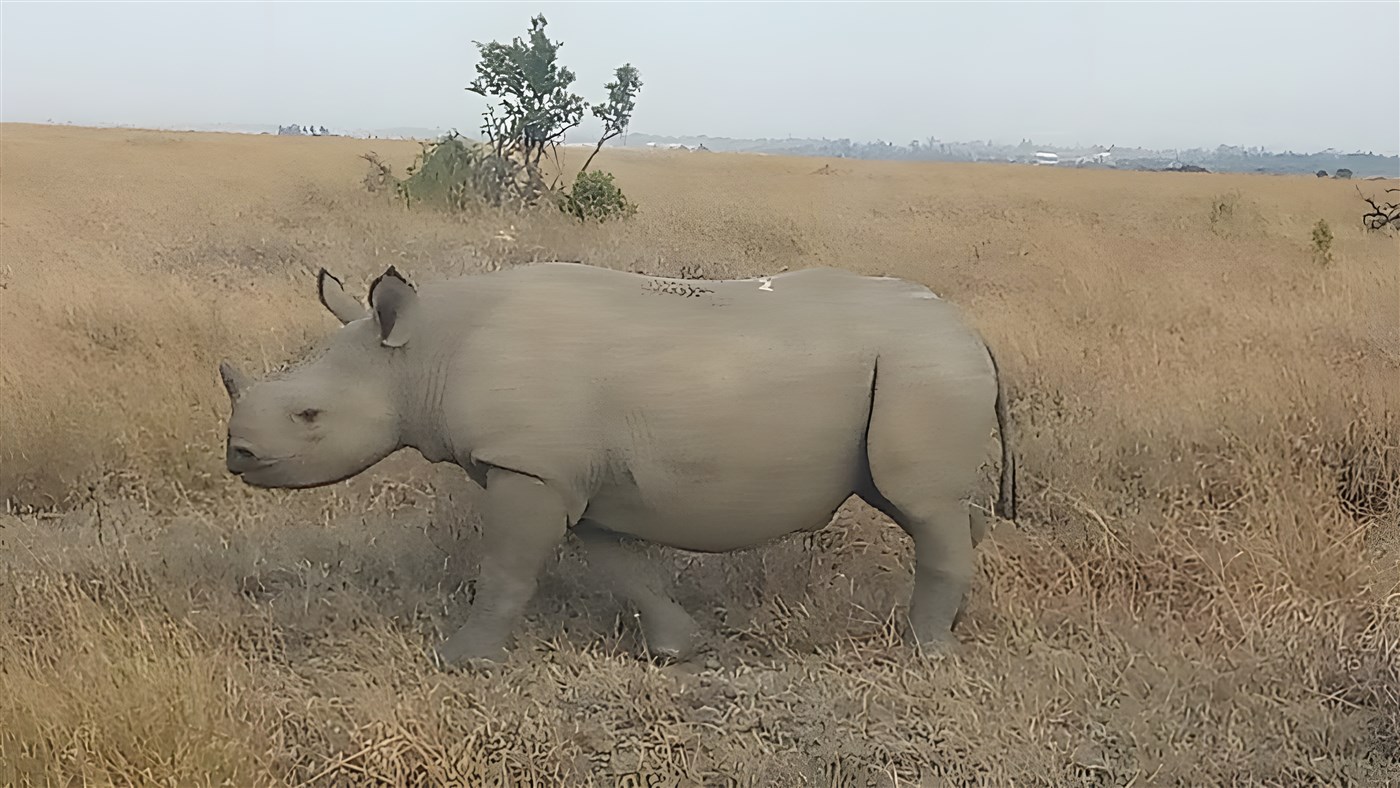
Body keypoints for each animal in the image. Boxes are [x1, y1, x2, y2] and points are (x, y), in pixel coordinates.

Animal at [218, 262, 1017, 666]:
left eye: (309, 416)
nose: (237, 455)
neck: (418, 357)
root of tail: (973, 332)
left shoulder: (527, 465)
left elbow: (507, 569)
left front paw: (460, 663)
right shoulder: (568, 474)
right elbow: (619, 563)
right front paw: (678, 650)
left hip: (924, 366)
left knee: (921, 505)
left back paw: (923, 654)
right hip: (922, 366)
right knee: (925, 507)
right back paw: (951, 627)